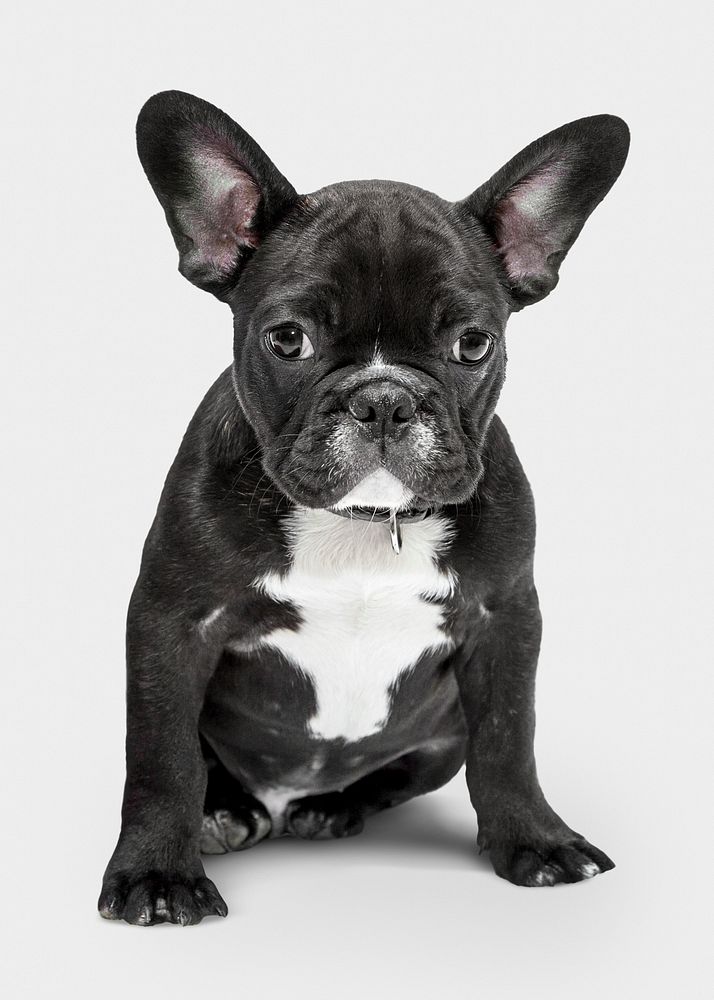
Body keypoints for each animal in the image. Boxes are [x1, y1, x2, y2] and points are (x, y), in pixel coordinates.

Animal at [97, 90, 624, 924]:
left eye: (474, 344)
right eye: (288, 340)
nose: (383, 400)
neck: (365, 525)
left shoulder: (505, 620)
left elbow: (510, 741)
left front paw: (536, 841)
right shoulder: (172, 625)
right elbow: (161, 757)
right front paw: (157, 872)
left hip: (441, 734)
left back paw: (332, 805)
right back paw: (226, 812)